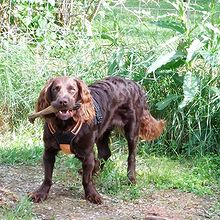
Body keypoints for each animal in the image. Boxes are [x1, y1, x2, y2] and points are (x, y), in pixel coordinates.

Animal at [28, 76, 163, 204]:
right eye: (55, 89)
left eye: (72, 89)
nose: (63, 102)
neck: (65, 125)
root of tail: (134, 84)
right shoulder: (49, 151)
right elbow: (47, 177)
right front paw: (41, 193)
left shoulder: (87, 152)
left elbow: (86, 180)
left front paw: (92, 195)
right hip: (103, 131)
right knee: (105, 153)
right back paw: (96, 170)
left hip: (132, 130)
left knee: (131, 156)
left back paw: (131, 178)